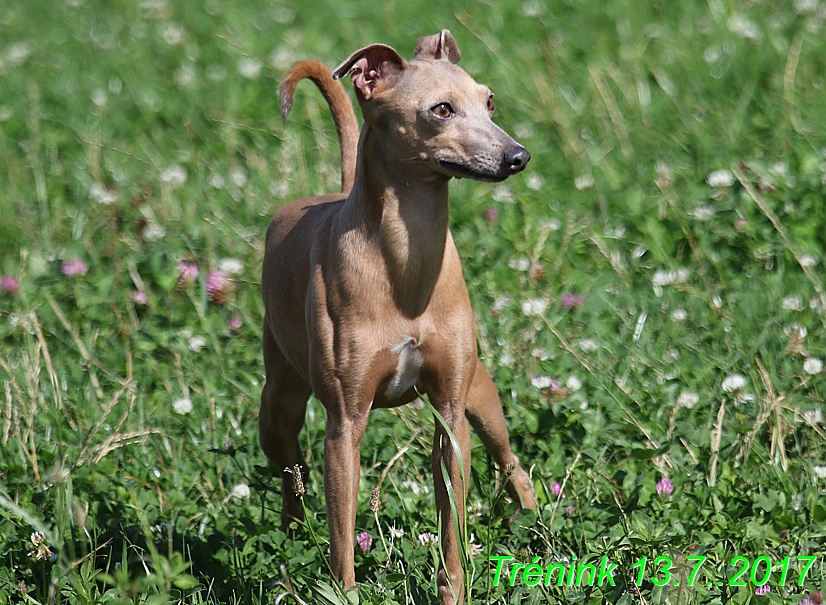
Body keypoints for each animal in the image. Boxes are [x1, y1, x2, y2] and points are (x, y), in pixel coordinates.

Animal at [260, 30, 536, 600]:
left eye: (489, 101)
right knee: (291, 474)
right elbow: (342, 537)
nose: (517, 156)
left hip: (482, 395)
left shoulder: (452, 417)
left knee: (510, 458)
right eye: (441, 109)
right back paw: (290, 545)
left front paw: (453, 591)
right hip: (277, 409)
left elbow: (452, 525)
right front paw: (344, 593)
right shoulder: (344, 428)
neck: (404, 263)